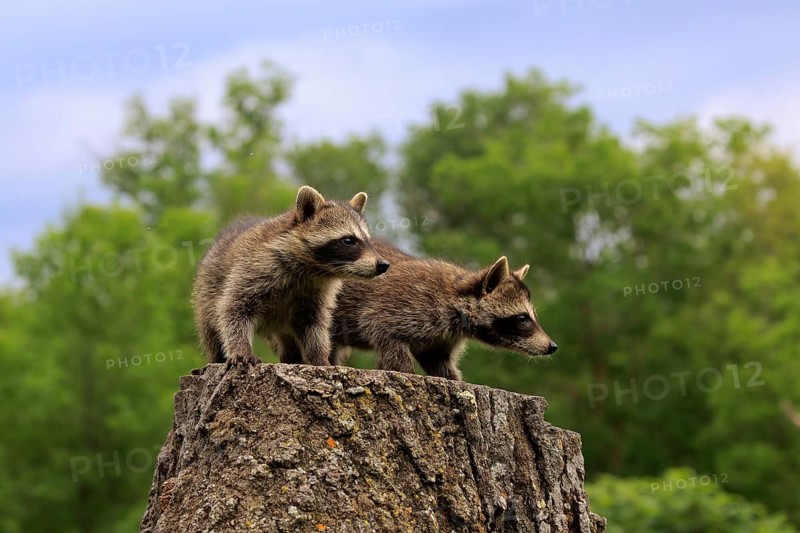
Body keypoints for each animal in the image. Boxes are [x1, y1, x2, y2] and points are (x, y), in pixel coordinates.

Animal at [192, 186, 389, 367]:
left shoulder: (316, 294)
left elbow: (314, 325)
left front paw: (320, 357)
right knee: (211, 327)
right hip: (207, 290)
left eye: (368, 240)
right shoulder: (255, 268)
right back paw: (217, 357)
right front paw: (241, 349)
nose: (383, 265)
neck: (315, 270)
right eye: (348, 240)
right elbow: (234, 309)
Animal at [330, 240, 556, 380]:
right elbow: (386, 336)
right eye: (522, 318)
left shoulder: (442, 338)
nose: (552, 346)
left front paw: (454, 380)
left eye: (531, 316)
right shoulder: (402, 306)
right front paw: (405, 370)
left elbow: (438, 361)